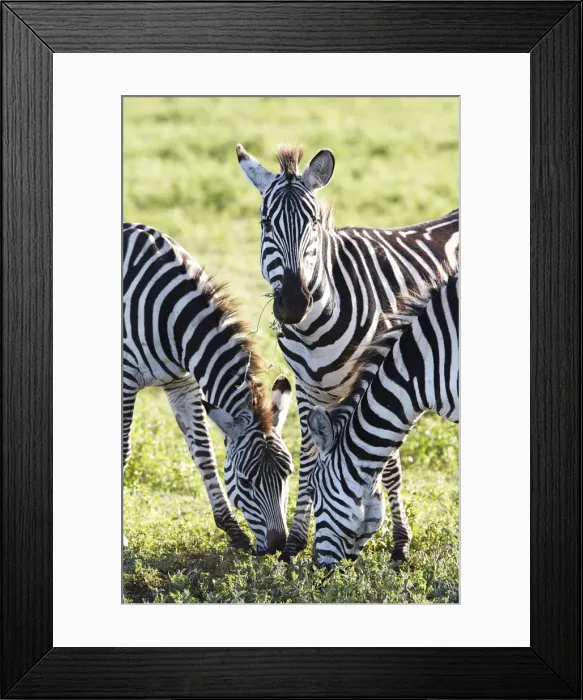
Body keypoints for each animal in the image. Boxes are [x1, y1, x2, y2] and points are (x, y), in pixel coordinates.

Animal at [123, 222, 294, 555]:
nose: (279, 546)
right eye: (246, 481)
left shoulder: (182, 382)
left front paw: (234, 531)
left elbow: (203, 455)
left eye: (288, 474)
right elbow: (122, 451)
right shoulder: (124, 378)